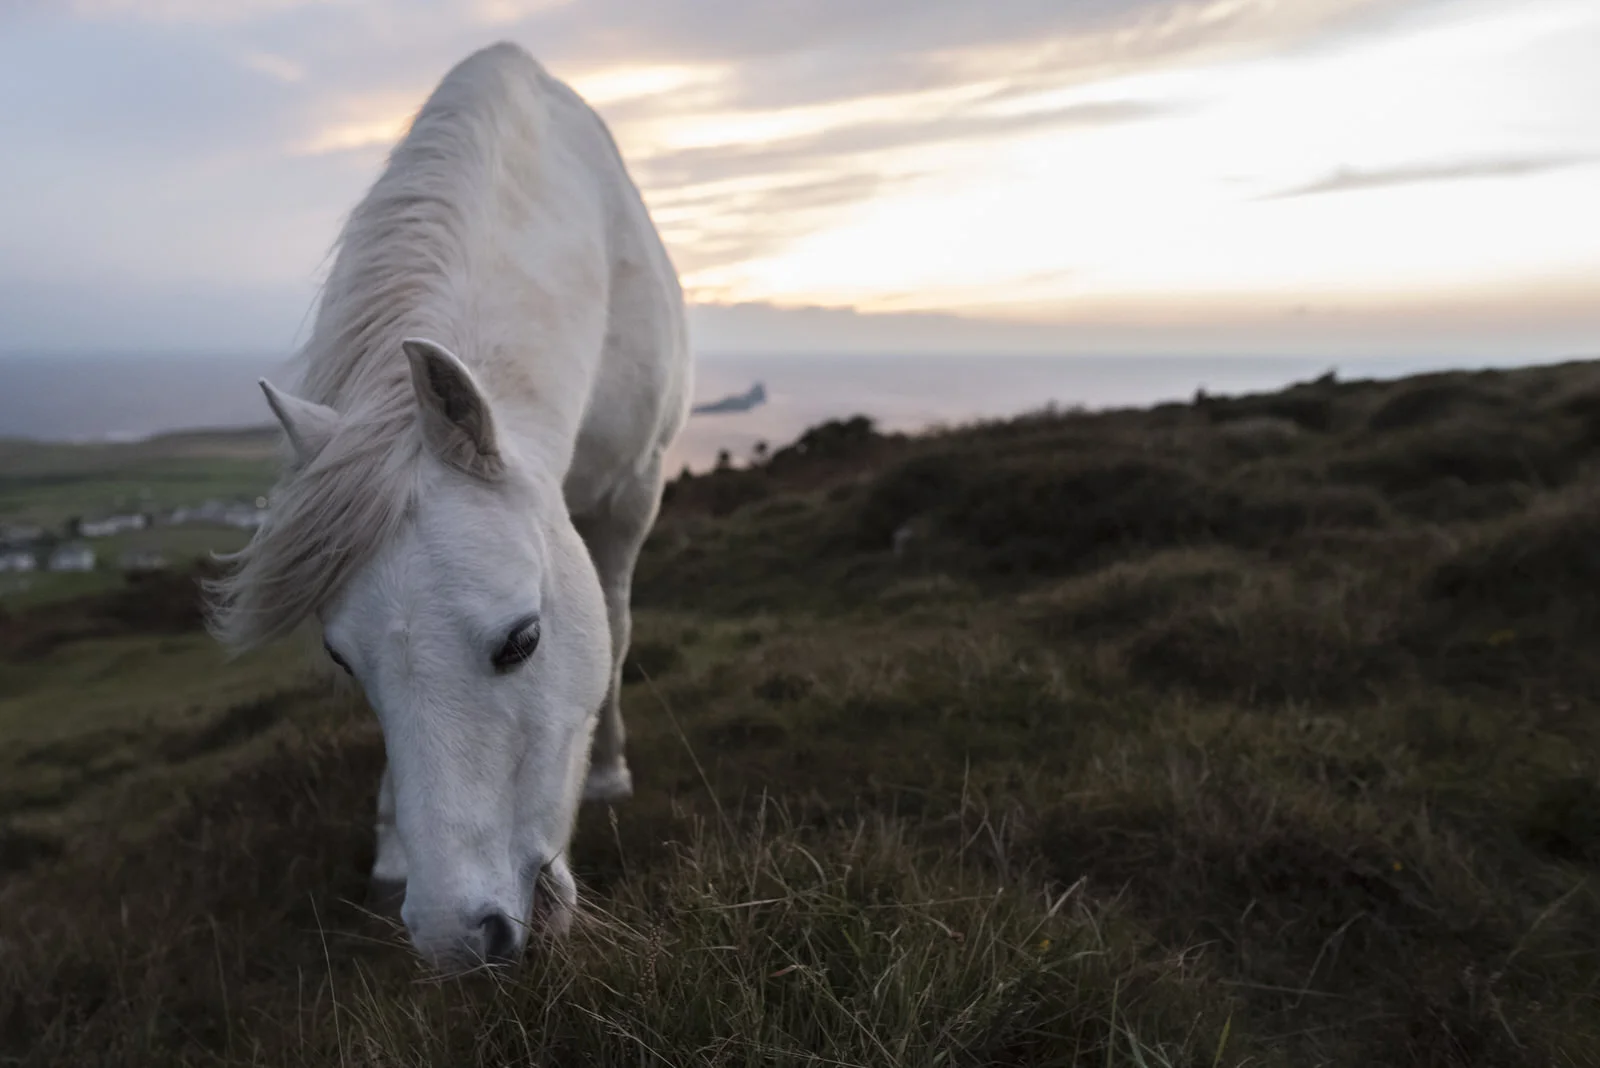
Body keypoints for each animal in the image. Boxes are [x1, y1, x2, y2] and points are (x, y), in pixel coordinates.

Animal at [206, 41, 692, 971]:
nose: (457, 936)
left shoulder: (634, 491)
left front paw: (609, 772)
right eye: (342, 660)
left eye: (522, 641)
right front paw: (393, 844)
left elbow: (614, 627)